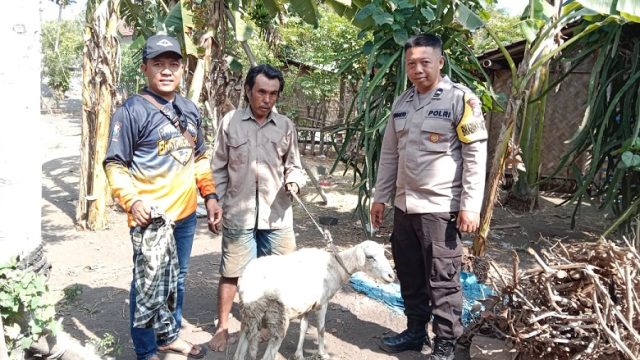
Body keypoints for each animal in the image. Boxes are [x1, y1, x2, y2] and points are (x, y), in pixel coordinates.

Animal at [235, 239, 396, 360]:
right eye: (370, 257)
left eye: (383, 254)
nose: (391, 276)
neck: (336, 267)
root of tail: (248, 288)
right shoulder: (322, 303)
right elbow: (321, 329)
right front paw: (322, 353)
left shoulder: (306, 305)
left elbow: (303, 328)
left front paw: (299, 355)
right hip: (277, 318)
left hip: (248, 318)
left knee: (239, 353)